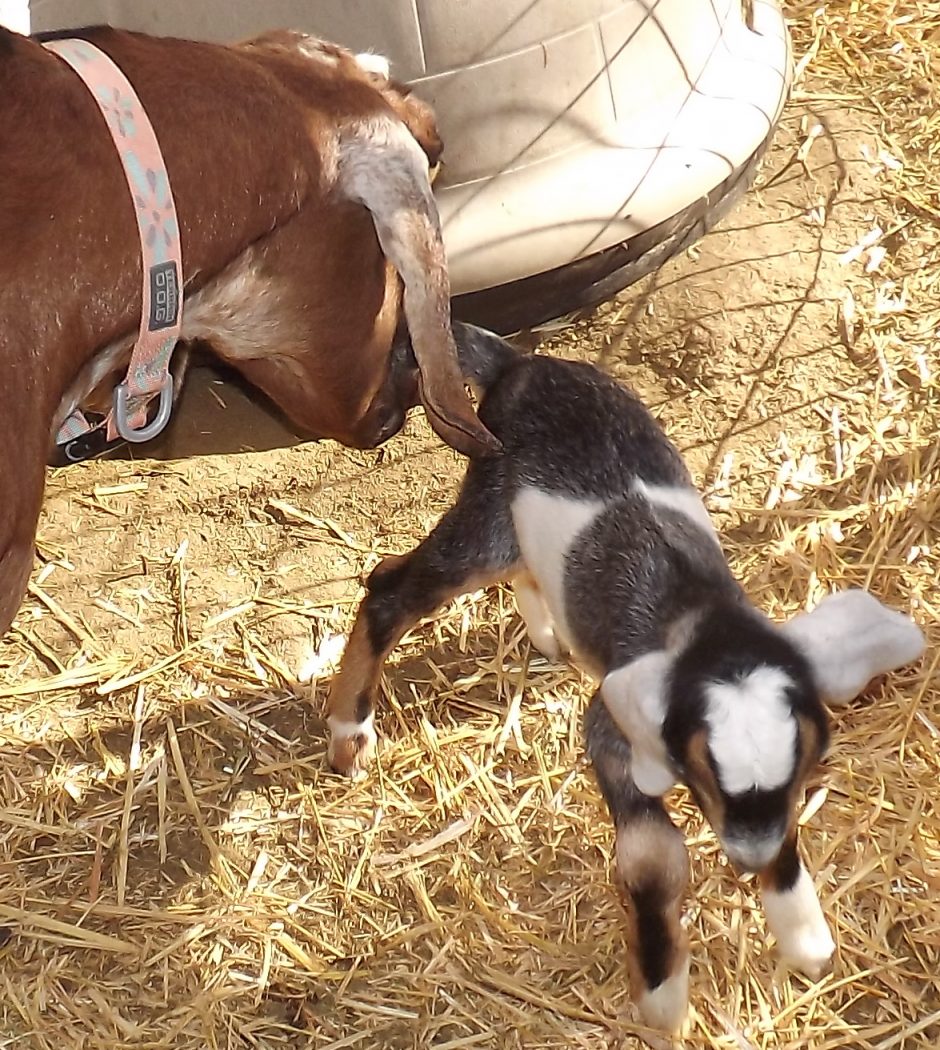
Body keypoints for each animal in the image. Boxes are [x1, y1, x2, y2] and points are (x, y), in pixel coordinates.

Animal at [325, 324, 925, 1031]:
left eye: (803, 769)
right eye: (701, 772)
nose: (748, 860)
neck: (700, 617)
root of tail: (518, 366)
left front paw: (804, 936)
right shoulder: (613, 728)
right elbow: (653, 858)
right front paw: (663, 995)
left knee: (524, 571)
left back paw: (547, 633)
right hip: (487, 518)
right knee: (390, 588)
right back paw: (348, 730)